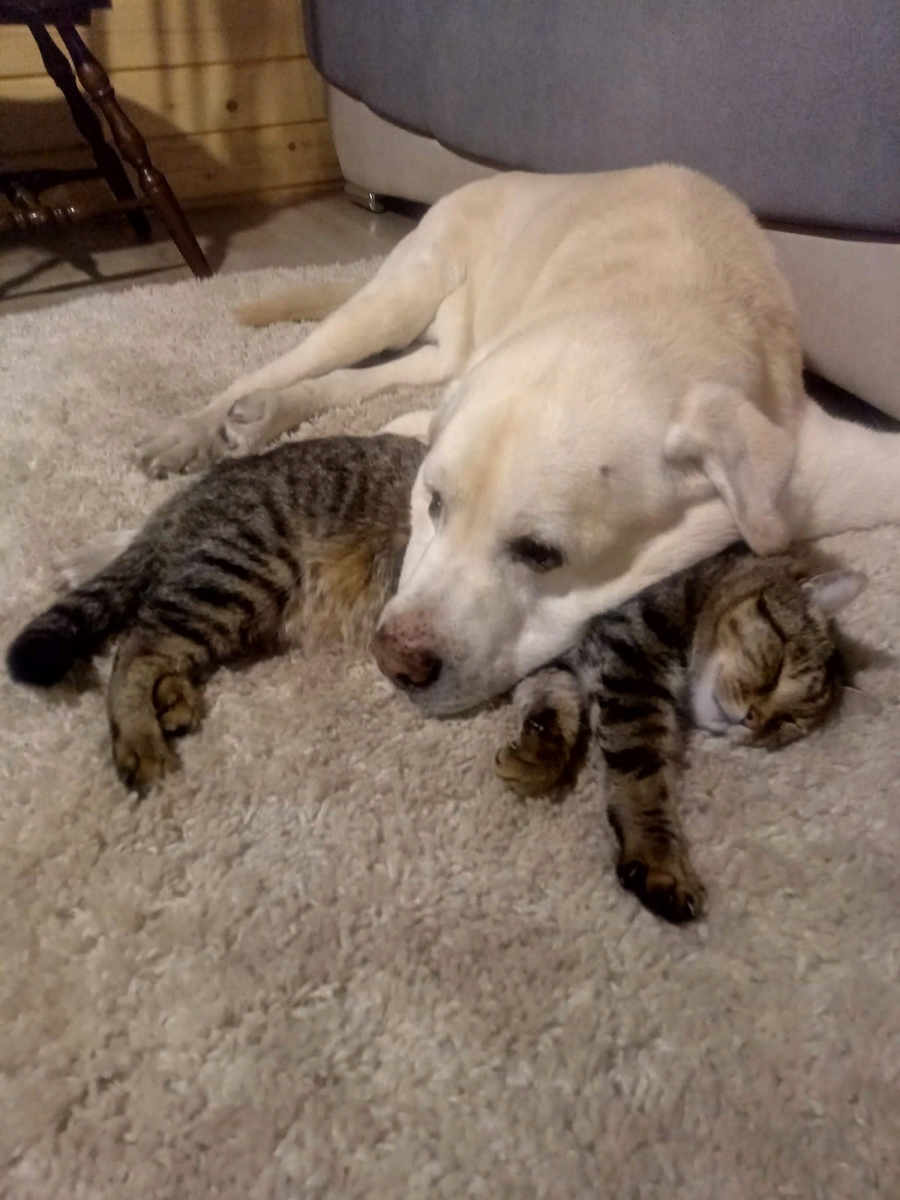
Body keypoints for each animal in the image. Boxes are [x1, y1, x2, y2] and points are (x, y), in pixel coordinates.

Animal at [137, 165, 900, 714]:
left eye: (541, 554)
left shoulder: (806, 466)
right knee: (294, 360)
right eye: (434, 505)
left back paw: (265, 413)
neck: (643, 308)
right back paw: (199, 427)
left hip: (446, 348)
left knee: (378, 374)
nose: (393, 661)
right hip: (400, 294)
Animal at [495, 545, 864, 922]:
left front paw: (537, 754)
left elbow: (549, 694)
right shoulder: (630, 665)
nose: (753, 721)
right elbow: (642, 779)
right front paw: (660, 859)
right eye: (777, 667)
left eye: (789, 722)